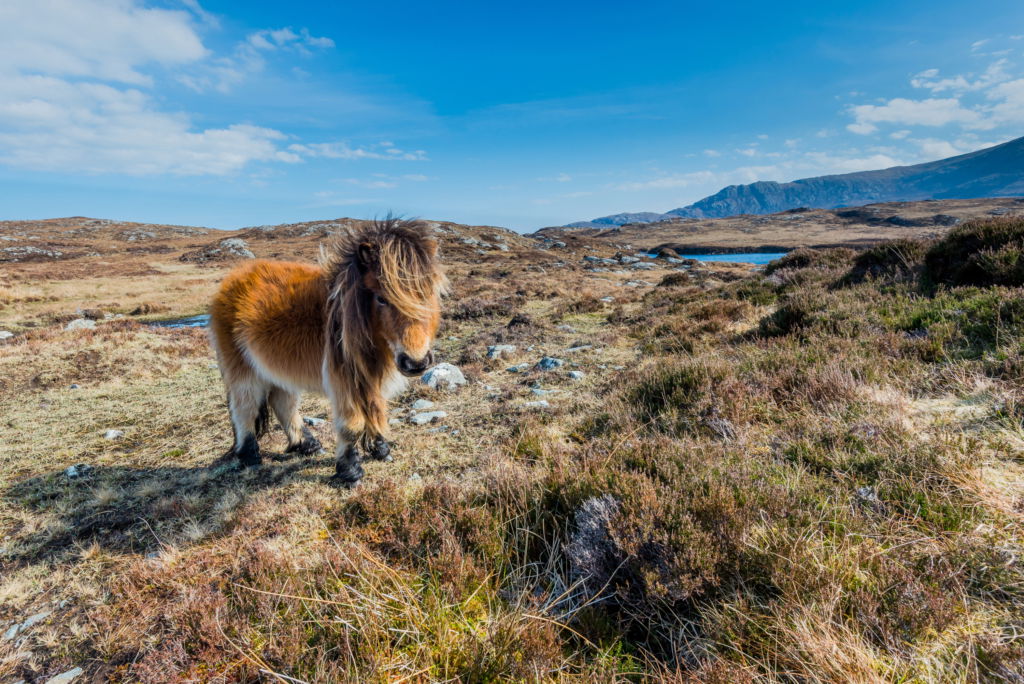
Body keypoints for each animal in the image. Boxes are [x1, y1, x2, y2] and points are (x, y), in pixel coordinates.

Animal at [208, 217, 447, 486]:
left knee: (283, 403)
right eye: (381, 298)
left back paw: (307, 445)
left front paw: (380, 449)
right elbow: (353, 424)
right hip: (242, 369)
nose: (416, 363)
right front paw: (350, 472)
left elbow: (375, 408)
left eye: (428, 293)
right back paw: (250, 456)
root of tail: (232, 279)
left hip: (277, 370)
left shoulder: (371, 376)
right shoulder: (344, 378)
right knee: (245, 409)